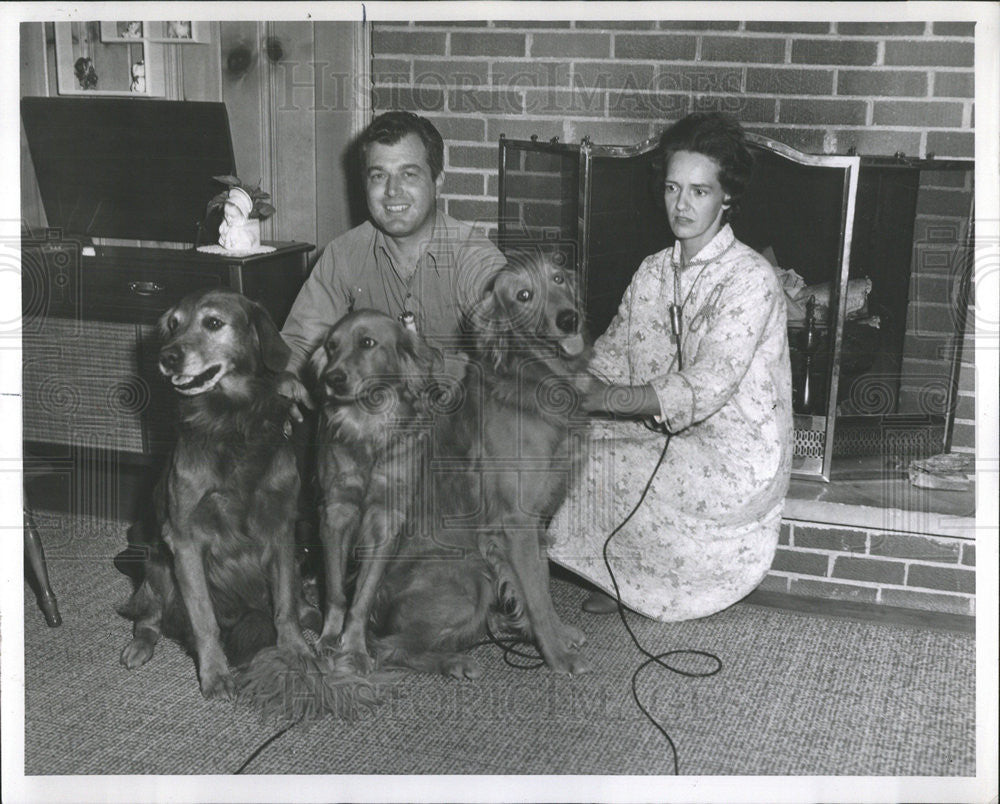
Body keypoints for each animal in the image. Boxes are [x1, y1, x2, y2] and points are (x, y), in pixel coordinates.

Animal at [310, 310, 440, 676]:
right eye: (331, 346)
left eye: (367, 343)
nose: (333, 378)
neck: (367, 424)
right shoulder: (336, 514)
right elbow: (336, 592)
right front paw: (329, 639)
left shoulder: (385, 522)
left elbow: (363, 598)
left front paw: (354, 649)